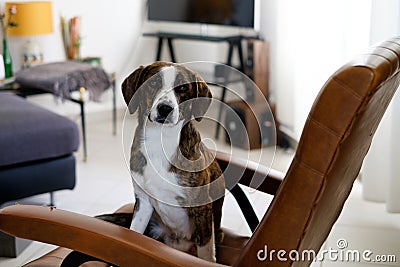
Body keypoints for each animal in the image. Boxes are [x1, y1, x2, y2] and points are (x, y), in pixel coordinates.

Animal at [120, 61, 227, 264]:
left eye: (183, 88)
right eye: (153, 83)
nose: (165, 108)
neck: (160, 141)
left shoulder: (202, 207)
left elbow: (206, 251)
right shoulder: (143, 203)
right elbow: (133, 233)